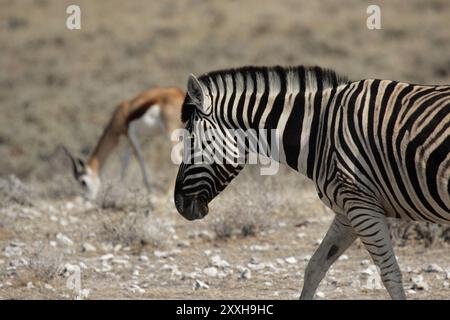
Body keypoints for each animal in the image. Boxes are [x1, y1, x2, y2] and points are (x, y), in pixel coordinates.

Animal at [175, 65, 450, 300]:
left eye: (189, 140)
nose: (178, 204)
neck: (319, 131)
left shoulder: (361, 204)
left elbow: (390, 274)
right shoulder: (349, 209)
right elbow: (315, 267)